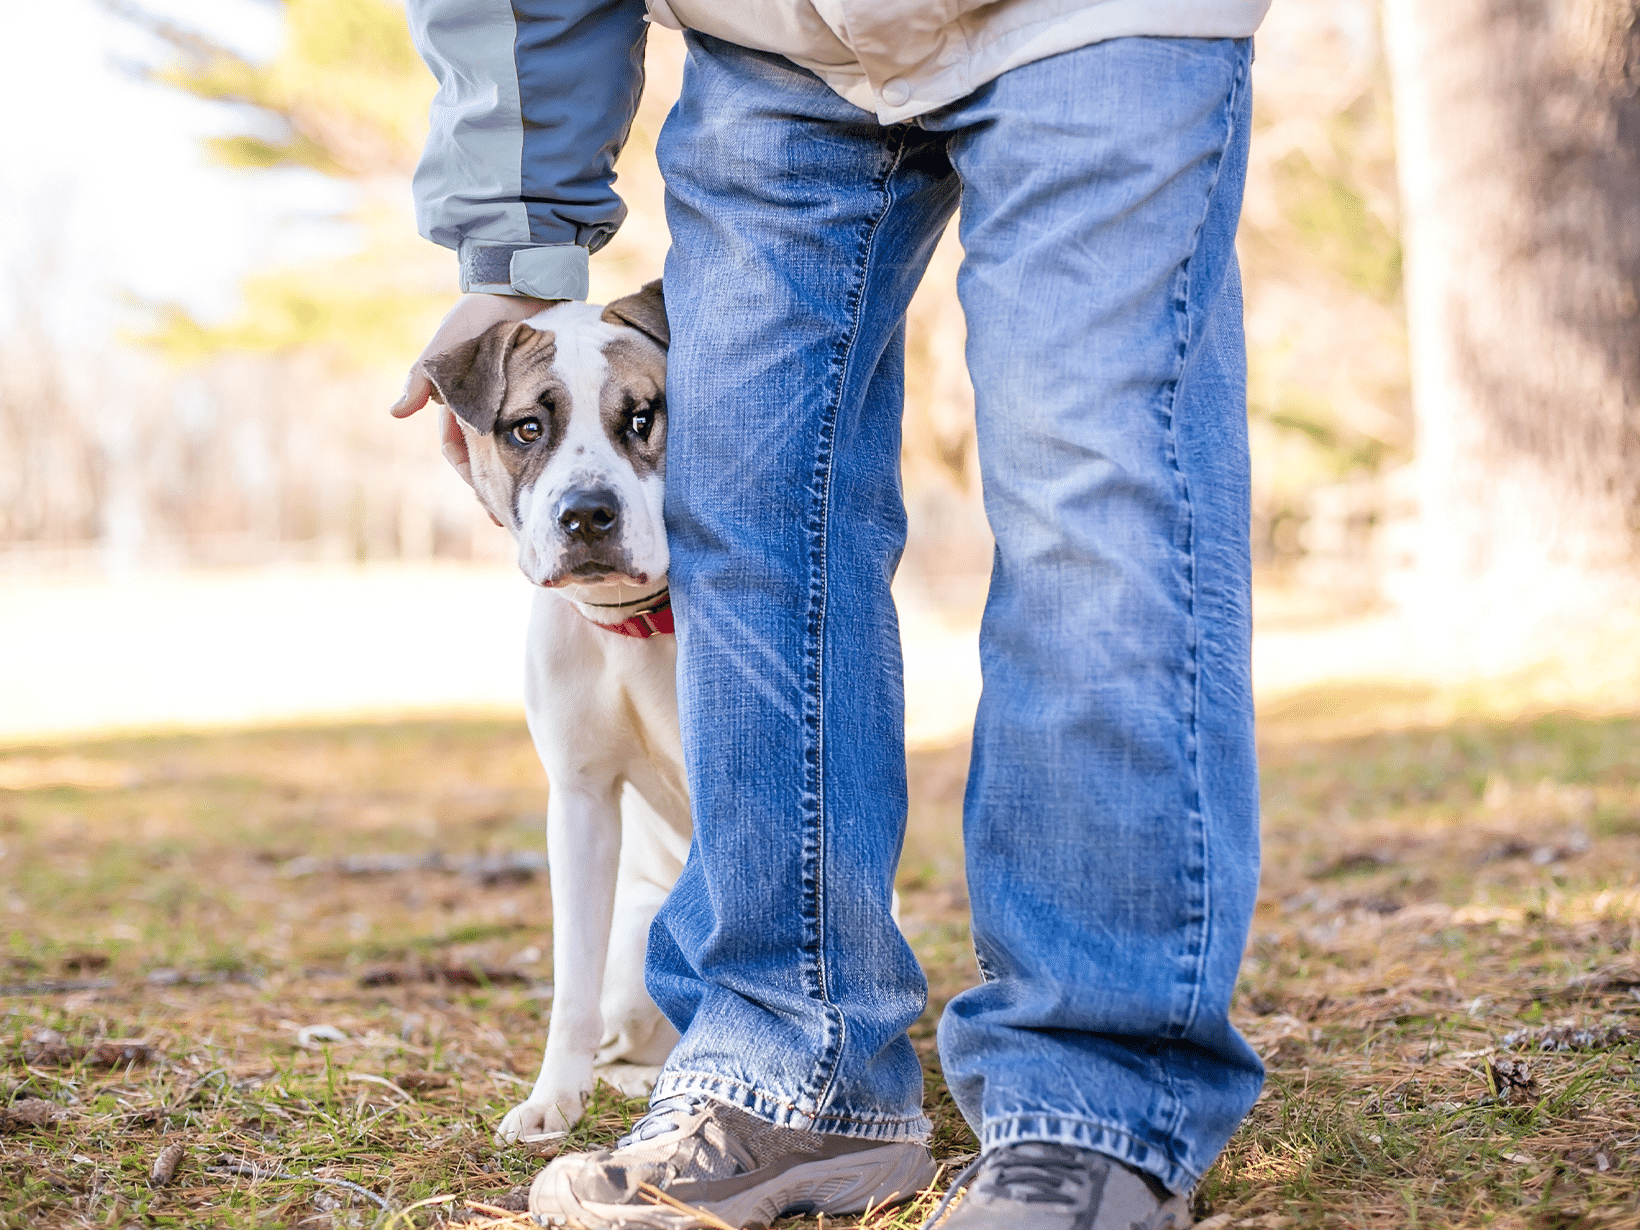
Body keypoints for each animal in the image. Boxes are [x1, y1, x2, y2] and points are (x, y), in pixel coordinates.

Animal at [423, 283, 685, 1154]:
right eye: (526, 429)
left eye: (642, 416)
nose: (587, 515)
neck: (638, 627)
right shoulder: (579, 801)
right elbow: (572, 984)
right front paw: (552, 1101)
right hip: (635, 951)